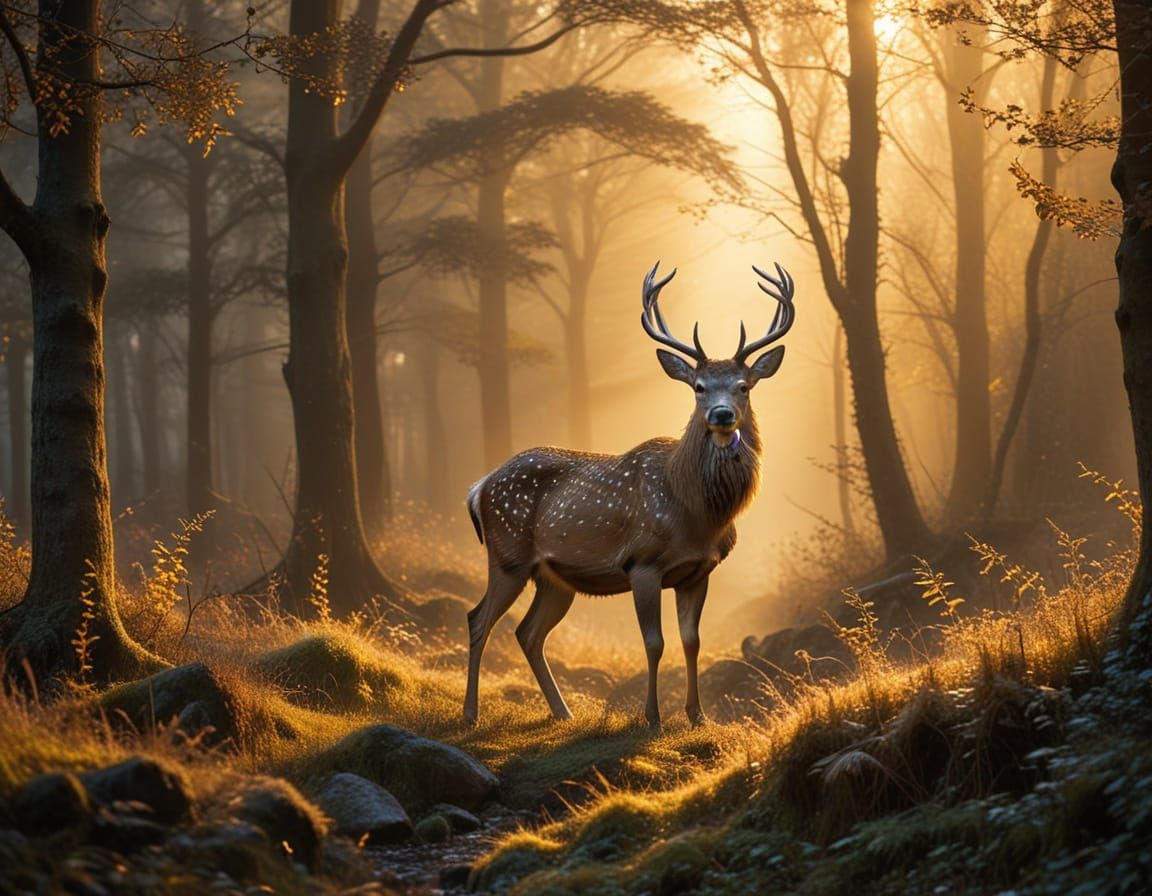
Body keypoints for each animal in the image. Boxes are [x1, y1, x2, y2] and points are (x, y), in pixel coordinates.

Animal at [464, 261, 796, 729]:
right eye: (698, 386)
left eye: (744, 385)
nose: (721, 415)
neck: (697, 514)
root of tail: (478, 487)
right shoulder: (643, 562)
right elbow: (654, 642)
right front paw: (652, 718)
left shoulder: (699, 571)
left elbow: (691, 641)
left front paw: (698, 716)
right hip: (507, 555)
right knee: (478, 619)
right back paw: (470, 713)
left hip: (554, 578)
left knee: (527, 632)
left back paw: (563, 712)